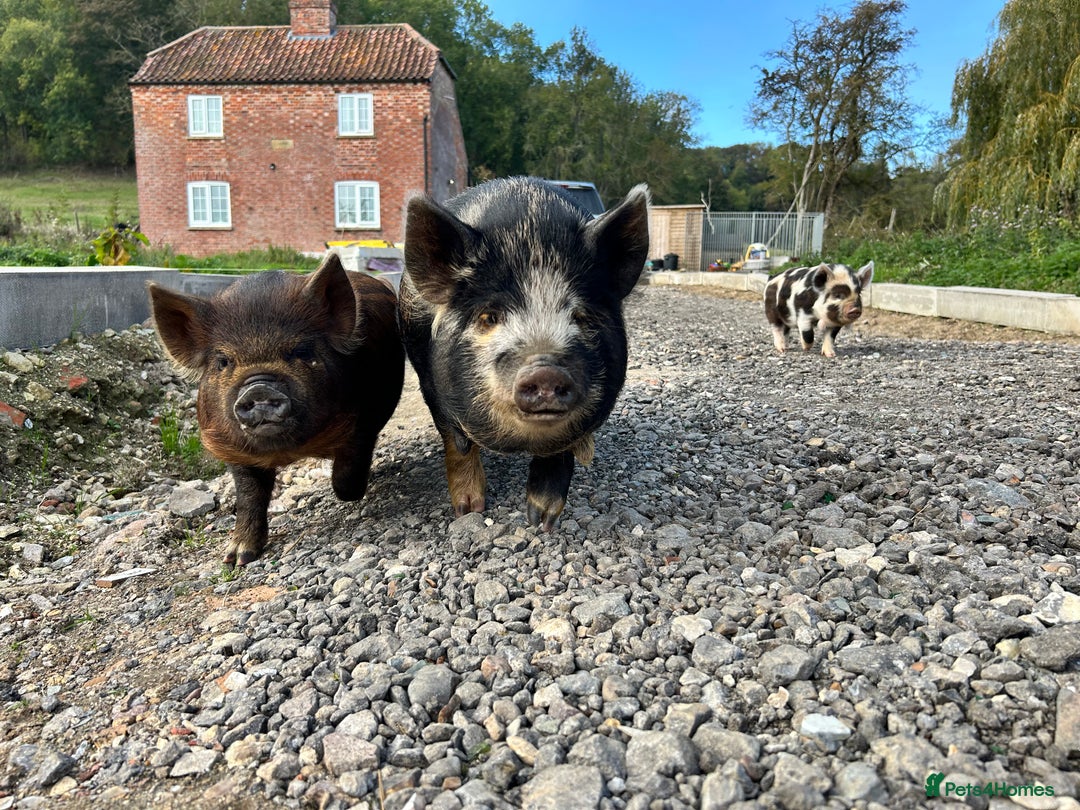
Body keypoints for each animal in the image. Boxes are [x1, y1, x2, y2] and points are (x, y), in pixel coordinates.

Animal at [147, 253, 404, 566]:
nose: (259, 388)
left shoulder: (364, 420)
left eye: (301, 351)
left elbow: (348, 469)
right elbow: (250, 496)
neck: (290, 452)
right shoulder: (233, 448)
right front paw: (237, 558)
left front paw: (350, 495)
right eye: (223, 361)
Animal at [398, 176, 650, 530]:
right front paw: (469, 511)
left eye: (581, 317)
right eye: (489, 317)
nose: (545, 369)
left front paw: (542, 520)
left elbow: (559, 449)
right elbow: (456, 442)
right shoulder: (429, 384)